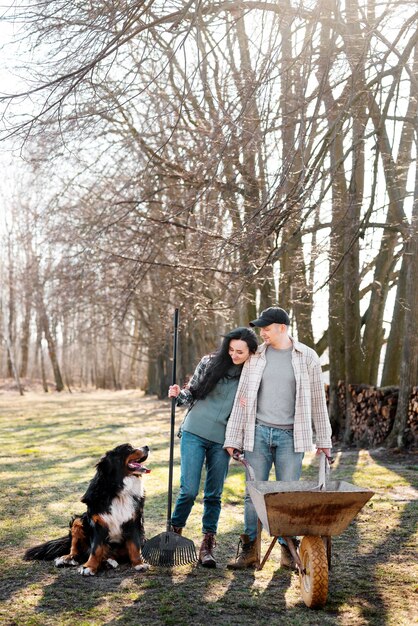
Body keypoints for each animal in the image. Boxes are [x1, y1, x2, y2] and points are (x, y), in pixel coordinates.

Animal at [23, 442, 150, 572]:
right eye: (129, 448)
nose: (146, 446)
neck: (118, 489)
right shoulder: (98, 523)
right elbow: (96, 549)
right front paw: (89, 566)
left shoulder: (134, 521)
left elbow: (135, 546)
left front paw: (139, 563)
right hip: (78, 521)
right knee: (76, 551)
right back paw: (66, 559)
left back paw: (109, 562)